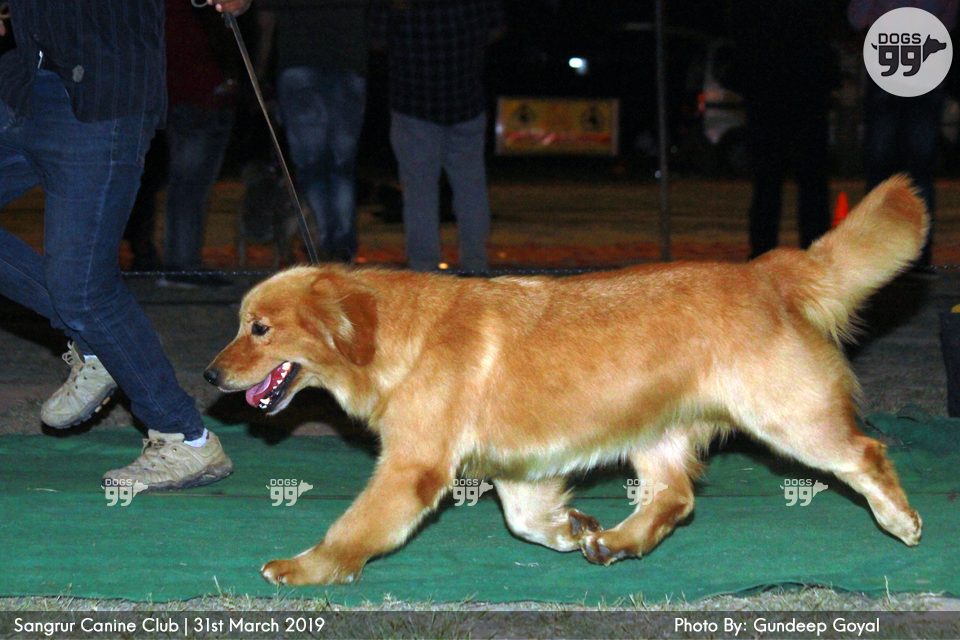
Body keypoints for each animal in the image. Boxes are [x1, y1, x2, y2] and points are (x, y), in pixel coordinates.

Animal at [205, 175, 927, 586]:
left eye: (259, 329)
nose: (211, 375)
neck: (398, 336)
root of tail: (767, 271)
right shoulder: (518, 467)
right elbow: (526, 521)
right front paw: (572, 527)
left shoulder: (412, 465)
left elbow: (353, 528)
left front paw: (306, 569)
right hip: (656, 430)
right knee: (673, 498)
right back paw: (616, 541)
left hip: (788, 417)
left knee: (866, 451)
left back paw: (901, 520)